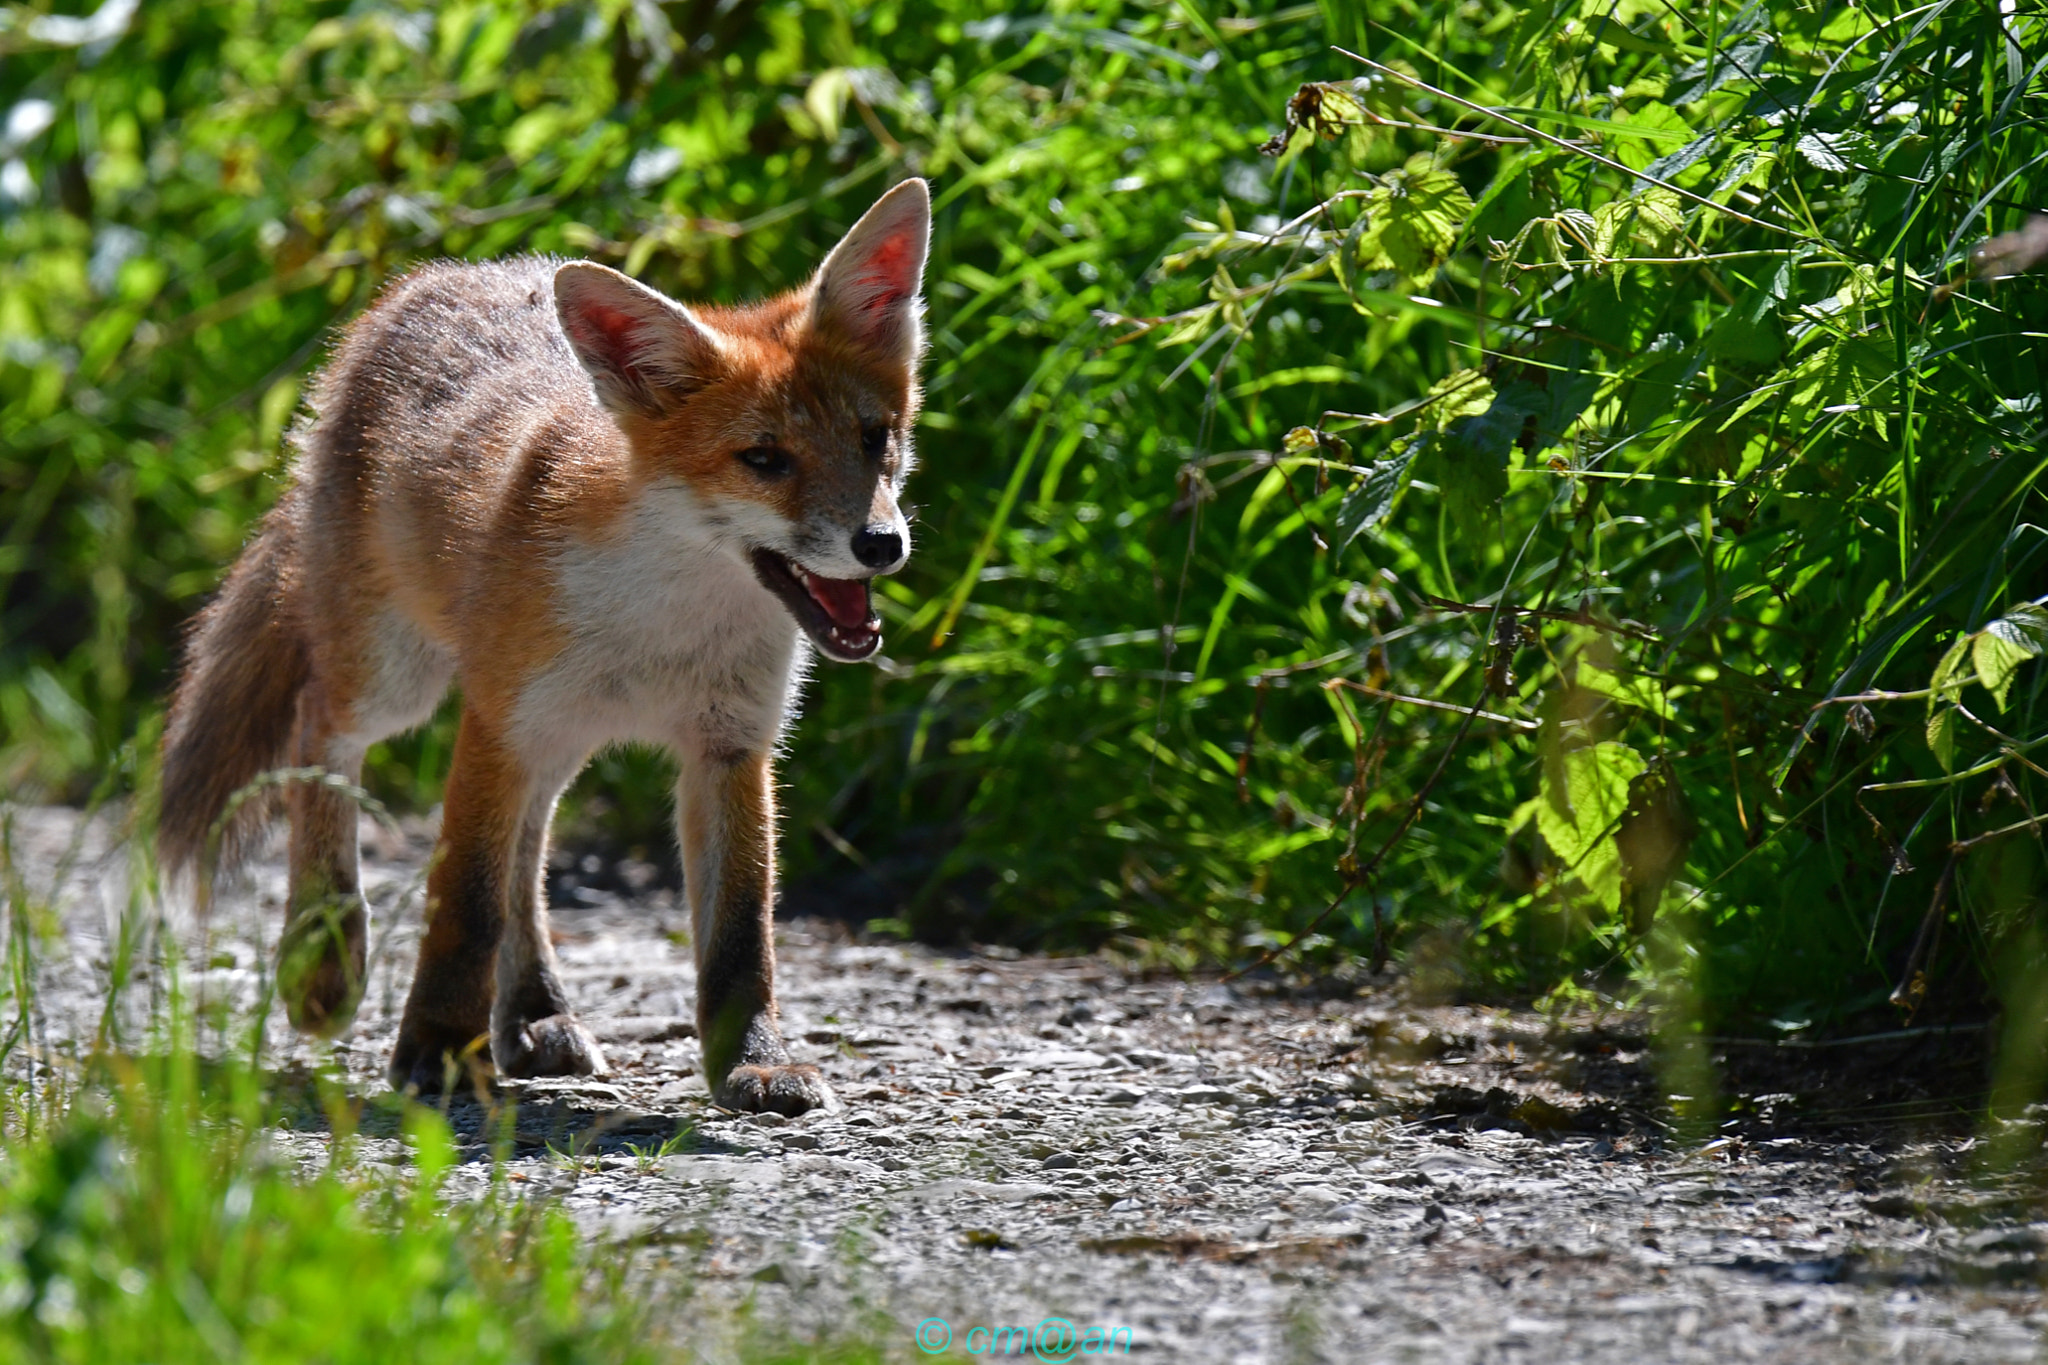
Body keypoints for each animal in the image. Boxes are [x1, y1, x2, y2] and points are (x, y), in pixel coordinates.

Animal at [156, 178, 933, 1116]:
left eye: (874, 437)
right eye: (763, 458)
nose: (880, 543)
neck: (664, 623)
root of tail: (439, 279)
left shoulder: (729, 743)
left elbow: (741, 936)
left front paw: (752, 1060)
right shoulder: (499, 723)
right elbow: (465, 902)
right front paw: (434, 1050)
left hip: (554, 735)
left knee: (528, 853)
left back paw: (532, 1012)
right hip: (401, 680)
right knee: (321, 733)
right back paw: (326, 948)